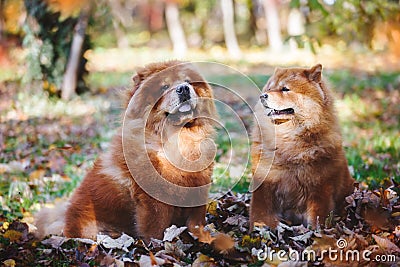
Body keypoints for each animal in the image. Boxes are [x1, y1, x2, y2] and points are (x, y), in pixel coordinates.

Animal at [36, 61, 217, 242]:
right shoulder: (154, 197)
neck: (178, 138)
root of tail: (64, 219)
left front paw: (206, 238)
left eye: (188, 81)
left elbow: (196, 220)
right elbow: (156, 226)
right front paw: (158, 244)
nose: (184, 88)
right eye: (164, 86)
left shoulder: (199, 184)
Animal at [248, 63, 354, 229]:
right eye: (269, 88)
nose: (263, 96)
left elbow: (317, 217)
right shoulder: (264, 182)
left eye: (285, 89)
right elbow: (260, 213)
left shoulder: (319, 189)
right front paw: (260, 228)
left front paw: (316, 232)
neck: (288, 140)